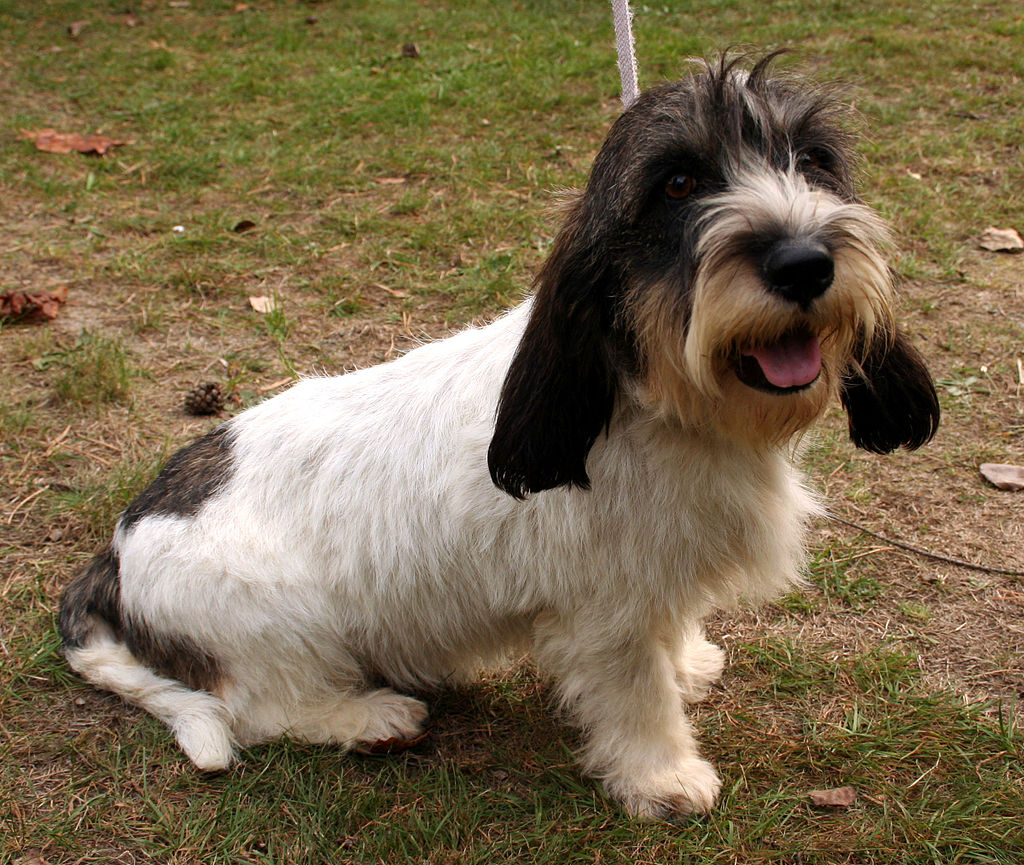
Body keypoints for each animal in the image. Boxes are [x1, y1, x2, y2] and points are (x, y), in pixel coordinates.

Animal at [56, 55, 937, 814]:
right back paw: (369, 717)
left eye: (813, 162)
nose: (804, 261)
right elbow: (638, 696)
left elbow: (669, 638)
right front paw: (663, 779)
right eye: (678, 183)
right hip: (286, 631)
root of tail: (116, 553)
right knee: (261, 710)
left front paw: (688, 662)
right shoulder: (606, 616)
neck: (654, 400)